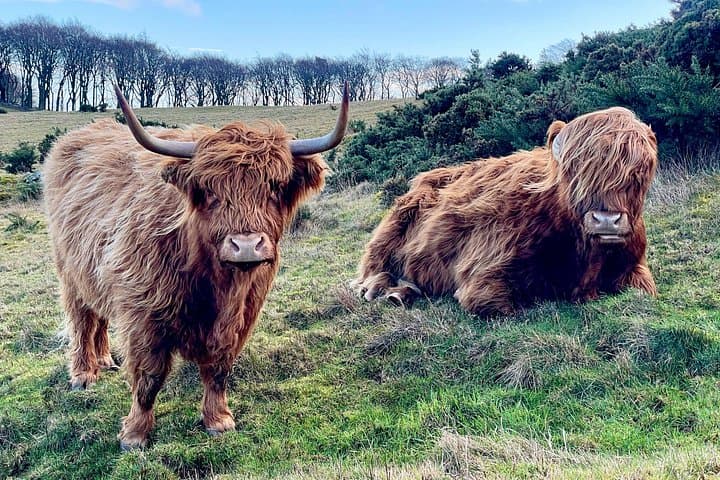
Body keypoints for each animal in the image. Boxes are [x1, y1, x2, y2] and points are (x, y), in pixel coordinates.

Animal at [44, 84, 348, 450]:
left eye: (274, 187)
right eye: (209, 190)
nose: (247, 245)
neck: (213, 281)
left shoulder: (241, 316)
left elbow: (218, 369)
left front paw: (218, 420)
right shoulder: (143, 314)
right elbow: (148, 376)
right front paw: (135, 435)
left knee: (99, 315)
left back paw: (105, 360)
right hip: (69, 273)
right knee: (82, 321)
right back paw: (84, 374)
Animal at [352, 107, 658, 315]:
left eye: (639, 170)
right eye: (573, 171)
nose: (606, 220)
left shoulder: (636, 266)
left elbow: (645, 290)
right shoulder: (484, 275)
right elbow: (502, 305)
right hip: (390, 231)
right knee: (372, 268)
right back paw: (379, 289)